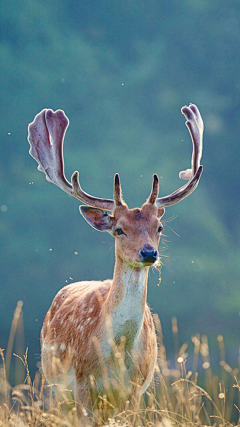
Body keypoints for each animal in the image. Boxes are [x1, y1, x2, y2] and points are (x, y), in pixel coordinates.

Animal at [28, 103, 204, 422]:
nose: (149, 253)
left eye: (159, 227)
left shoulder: (135, 389)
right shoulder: (82, 384)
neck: (117, 355)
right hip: (54, 386)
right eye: (119, 229)